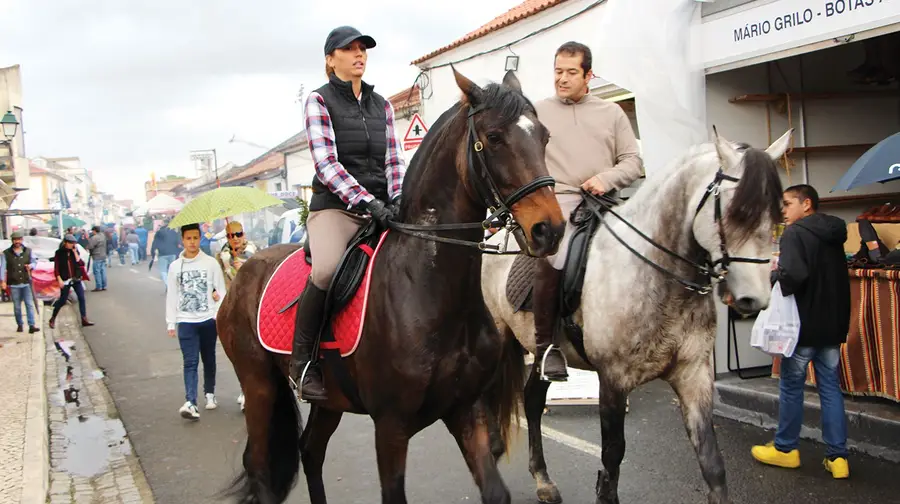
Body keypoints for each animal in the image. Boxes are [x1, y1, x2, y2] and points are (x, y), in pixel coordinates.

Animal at [220, 68, 564, 504]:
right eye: (495, 137)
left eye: (545, 136)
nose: (550, 229)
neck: (428, 288)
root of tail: (241, 275)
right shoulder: (391, 426)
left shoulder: (464, 409)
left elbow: (495, 491)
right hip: (259, 387)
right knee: (262, 469)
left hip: (329, 401)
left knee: (310, 451)